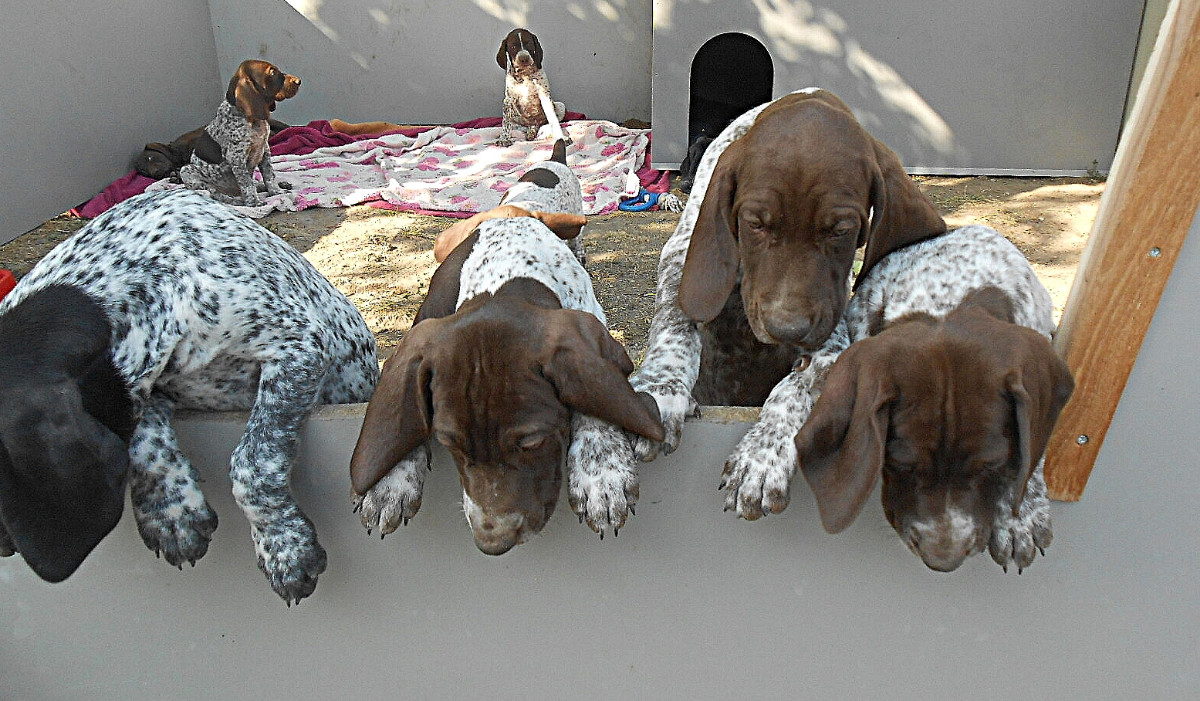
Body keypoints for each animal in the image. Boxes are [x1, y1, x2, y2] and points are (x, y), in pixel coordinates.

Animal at [0, 189, 379, 605]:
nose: (4, 550)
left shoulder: (298, 344)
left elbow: (252, 462)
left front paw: (284, 548)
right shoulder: (146, 385)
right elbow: (143, 444)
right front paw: (170, 513)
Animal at [178, 59, 301, 206]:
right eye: (272, 72)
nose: (299, 81)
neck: (253, 121)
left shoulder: (264, 150)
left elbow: (269, 175)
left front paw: (276, 191)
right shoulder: (236, 158)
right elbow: (247, 184)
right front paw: (254, 202)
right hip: (187, 170)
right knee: (213, 192)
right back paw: (234, 200)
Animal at [350, 207, 662, 555]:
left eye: (532, 442)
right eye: (449, 443)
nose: (493, 543)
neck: (504, 274)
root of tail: (510, 211)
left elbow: (595, 399)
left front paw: (603, 471)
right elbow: (403, 409)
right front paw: (388, 480)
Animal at [796, 226, 1075, 573]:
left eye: (992, 463)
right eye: (899, 462)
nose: (943, 560)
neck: (944, 298)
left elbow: (1031, 450)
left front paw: (1019, 516)